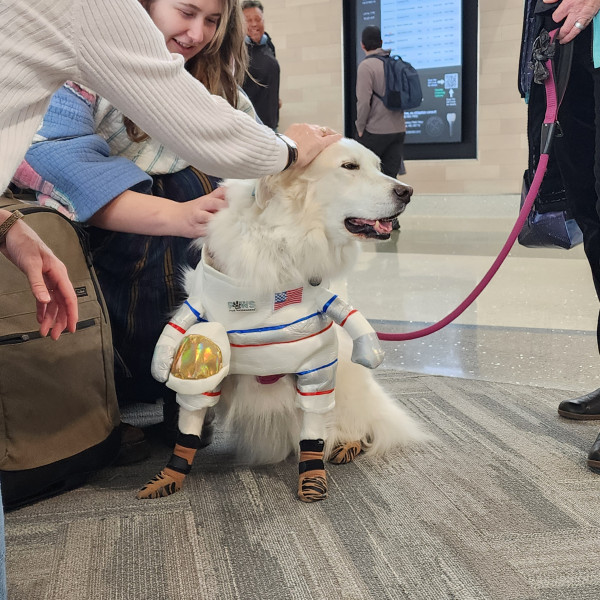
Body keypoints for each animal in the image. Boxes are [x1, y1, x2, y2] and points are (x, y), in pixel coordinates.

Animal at [138, 138, 426, 502]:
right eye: (349, 167)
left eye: (378, 166)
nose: (407, 191)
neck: (285, 241)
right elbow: (190, 418)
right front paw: (170, 474)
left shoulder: (316, 363)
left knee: (355, 423)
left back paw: (346, 444)